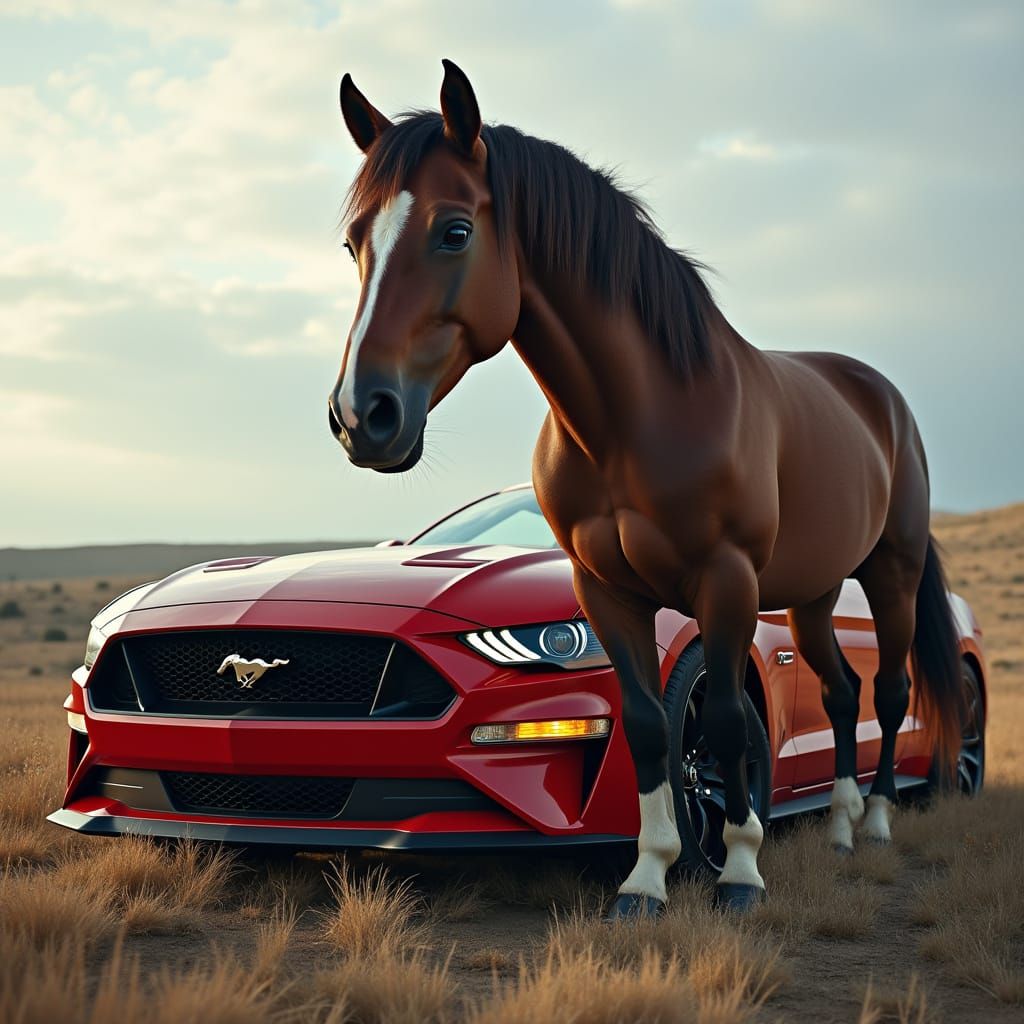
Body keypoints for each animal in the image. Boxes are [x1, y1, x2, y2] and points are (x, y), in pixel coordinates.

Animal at [326, 59, 964, 916]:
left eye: (454, 230)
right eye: (354, 241)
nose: (362, 415)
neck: (642, 417)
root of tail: (879, 397)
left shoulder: (725, 584)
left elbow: (725, 722)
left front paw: (740, 870)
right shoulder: (605, 590)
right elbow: (646, 723)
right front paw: (647, 878)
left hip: (889, 576)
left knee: (890, 693)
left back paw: (879, 823)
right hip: (812, 595)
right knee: (839, 693)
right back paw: (835, 828)